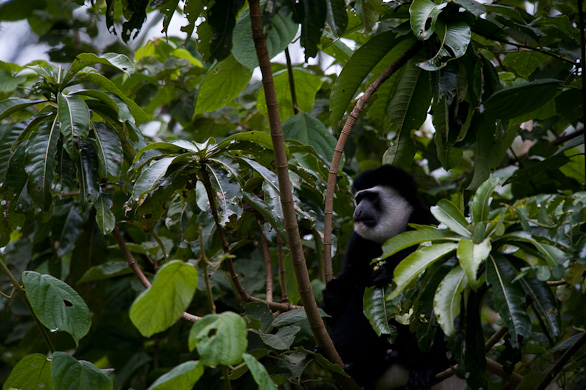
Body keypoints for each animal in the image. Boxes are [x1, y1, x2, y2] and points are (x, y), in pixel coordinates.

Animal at [322, 165, 450, 390]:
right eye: (359, 199)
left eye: (371, 197)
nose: (358, 210)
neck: (390, 238)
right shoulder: (359, 242)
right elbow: (348, 284)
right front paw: (332, 297)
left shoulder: (426, 225)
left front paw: (386, 273)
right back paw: (350, 362)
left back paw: (426, 368)